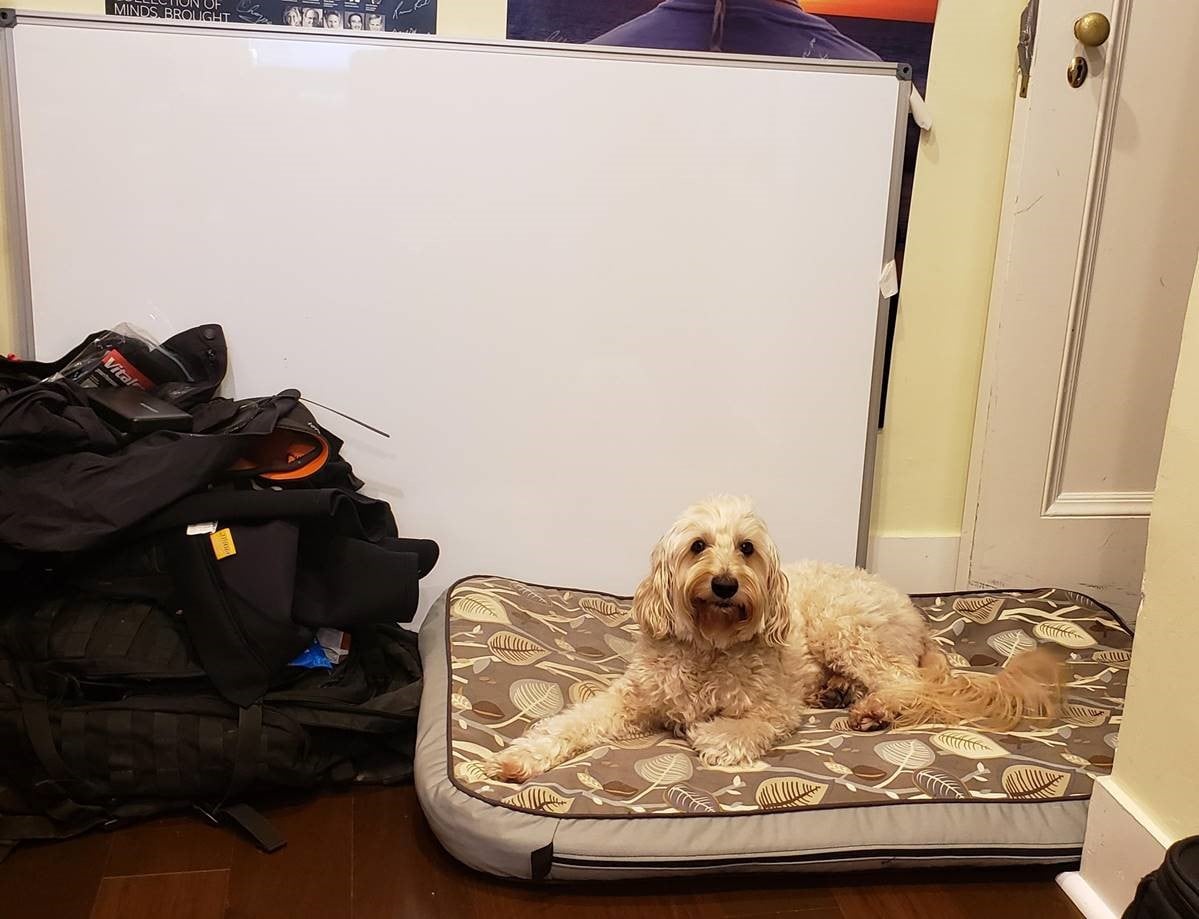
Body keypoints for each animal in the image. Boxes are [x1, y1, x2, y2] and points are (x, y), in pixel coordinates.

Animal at [486, 495, 1061, 783]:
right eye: (698, 546)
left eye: (746, 548)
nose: (725, 584)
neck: (709, 645)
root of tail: (911, 612)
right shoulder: (632, 700)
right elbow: (571, 722)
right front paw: (521, 757)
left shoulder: (775, 706)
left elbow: (743, 727)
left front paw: (713, 736)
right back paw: (839, 693)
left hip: (844, 629)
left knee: (905, 682)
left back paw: (873, 710)